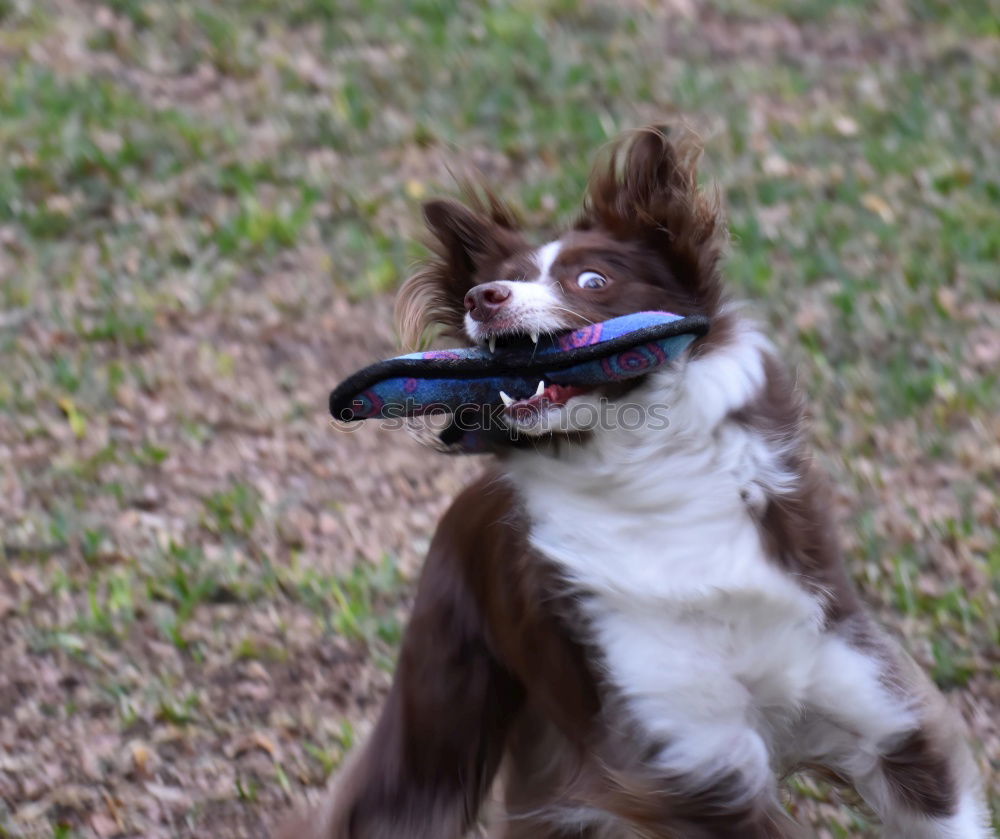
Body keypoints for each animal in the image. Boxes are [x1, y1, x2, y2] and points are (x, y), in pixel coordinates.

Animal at [282, 126, 992, 839]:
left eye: (593, 279)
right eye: (494, 282)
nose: (481, 299)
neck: (646, 472)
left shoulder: (880, 709)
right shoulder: (693, 757)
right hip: (447, 699)